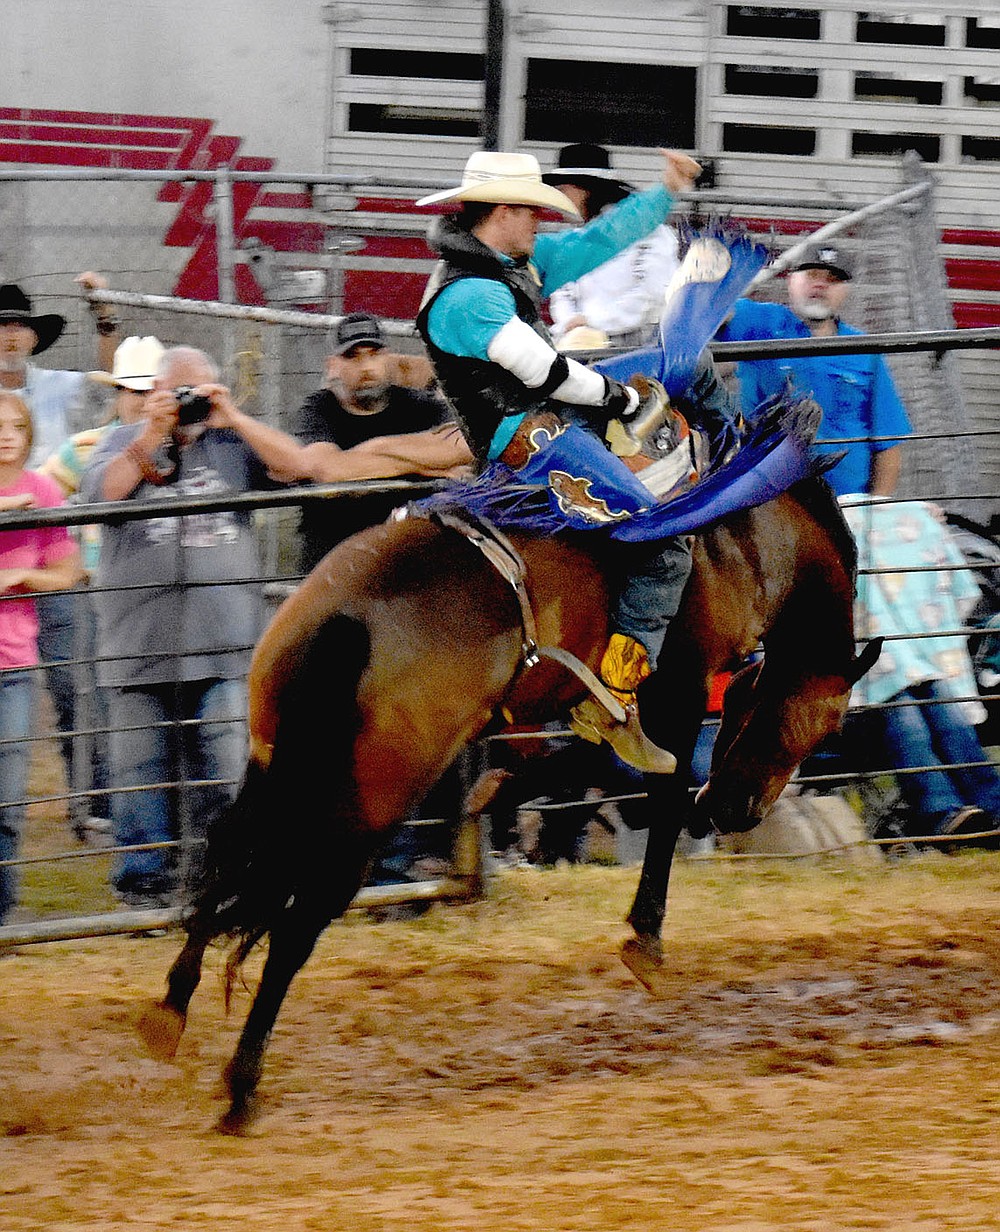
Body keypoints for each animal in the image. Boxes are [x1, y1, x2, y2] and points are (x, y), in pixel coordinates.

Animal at [138, 473, 876, 1133]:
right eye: (818, 725)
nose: (738, 814)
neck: (750, 536)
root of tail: (351, 617)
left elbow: (580, 766)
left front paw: (499, 795)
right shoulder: (680, 686)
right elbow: (658, 791)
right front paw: (645, 938)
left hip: (276, 760)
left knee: (228, 858)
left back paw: (170, 1011)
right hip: (374, 803)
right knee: (297, 923)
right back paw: (242, 1086)